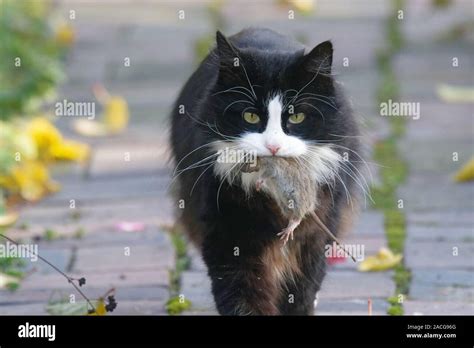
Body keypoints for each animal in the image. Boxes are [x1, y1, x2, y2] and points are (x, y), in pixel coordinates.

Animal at [170, 28, 362, 314]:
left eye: (296, 117)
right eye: (250, 117)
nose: (273, 146)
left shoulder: (316, 234)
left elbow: (301, 292)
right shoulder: (227, 231)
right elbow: (242, 293)